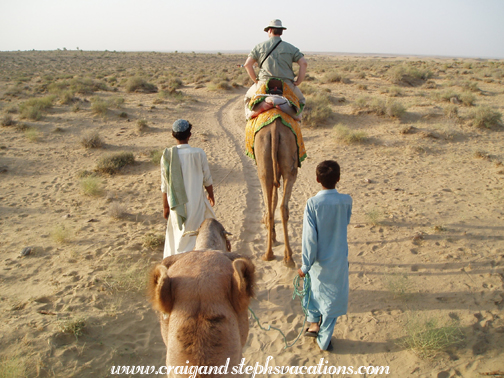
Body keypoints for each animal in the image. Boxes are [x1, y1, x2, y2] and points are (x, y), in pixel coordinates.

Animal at [254, 116, 298, 268]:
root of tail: (274, 129)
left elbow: (272, 198)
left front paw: (272, 234)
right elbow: (275, 198)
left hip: (263, 162)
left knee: (270, 203)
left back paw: (268, 255)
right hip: (288, 157)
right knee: (282, 207)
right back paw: (288, 257)